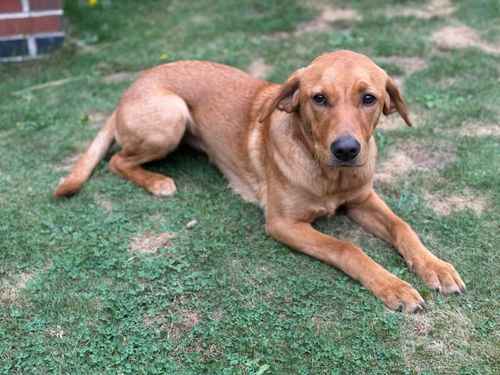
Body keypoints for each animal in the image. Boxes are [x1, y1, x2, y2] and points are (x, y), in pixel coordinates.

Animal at [54, 50, 464, 314]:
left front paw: (436, 266)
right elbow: (347, 249)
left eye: (369, 98)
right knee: (117, 161)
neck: (328, 174)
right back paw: (156, 182)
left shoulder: (361, 198)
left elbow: (402, 226)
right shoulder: (283, 223)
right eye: (319, 99)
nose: (347, 149)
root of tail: (130, 90)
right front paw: (393, 286)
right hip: (170, 117)